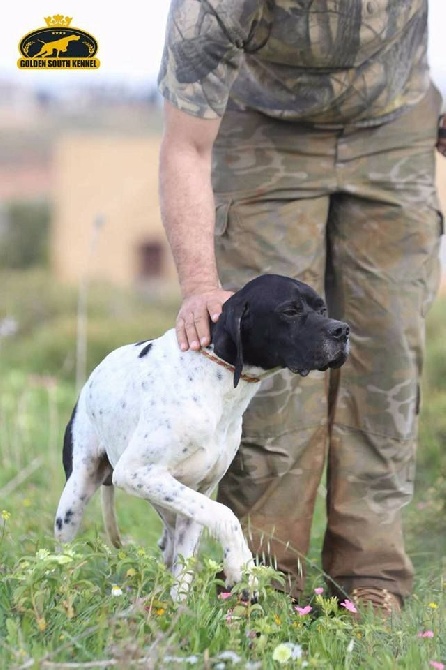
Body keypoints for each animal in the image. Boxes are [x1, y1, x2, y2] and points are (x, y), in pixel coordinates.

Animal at [55, 276, 348, 600]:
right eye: (290, 310)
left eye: (322, 308)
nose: (342, 330)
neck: (216, 382)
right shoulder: (136, 472)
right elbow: (226, 515)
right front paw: (241, 567)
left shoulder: (198, 491)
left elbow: (186, 562)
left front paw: (179, 608)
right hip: (76, 496)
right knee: (62, 555)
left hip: (165, 500)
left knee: (170, 546)